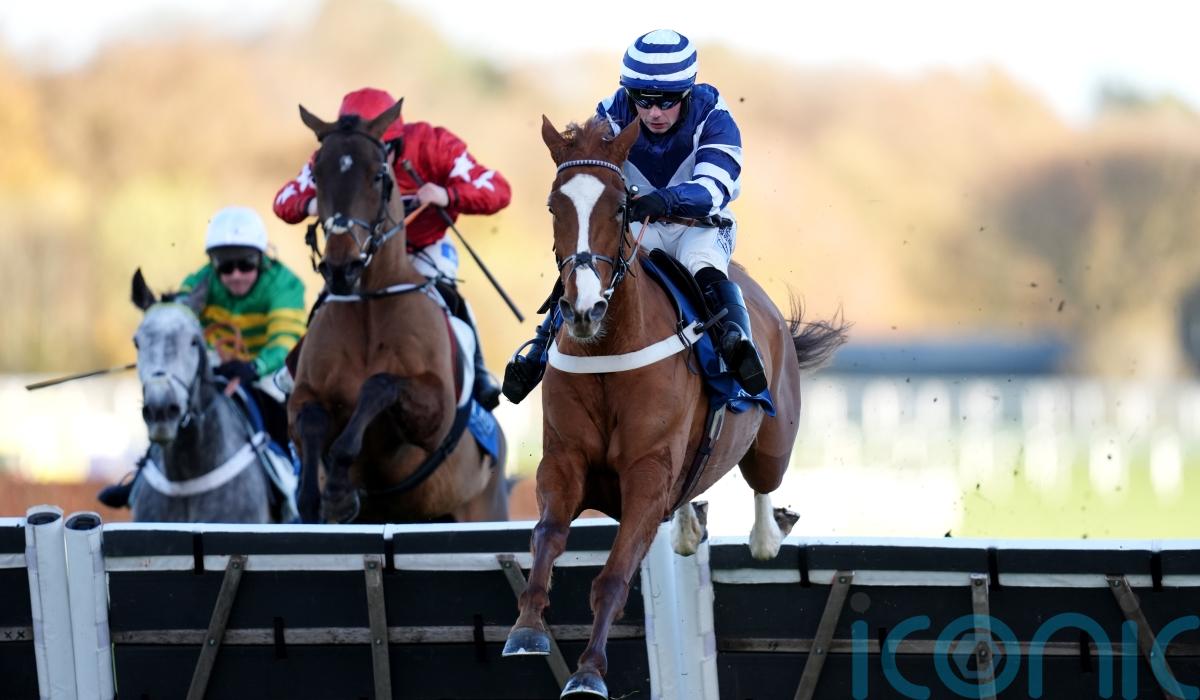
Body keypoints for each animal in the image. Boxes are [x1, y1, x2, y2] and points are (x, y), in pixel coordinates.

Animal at [502, 116, 847, 698]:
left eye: (621, 205)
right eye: (554, 205)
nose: (583, 308)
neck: (610, 349)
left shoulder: (646, 473)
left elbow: (615, 574)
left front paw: (589, 672)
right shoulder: (564, 462)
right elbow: (546, 535)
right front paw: (526, 629)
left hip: (772, 442)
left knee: (763, 495)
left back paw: (767, 532)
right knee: (691, 497)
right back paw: (690, 523)